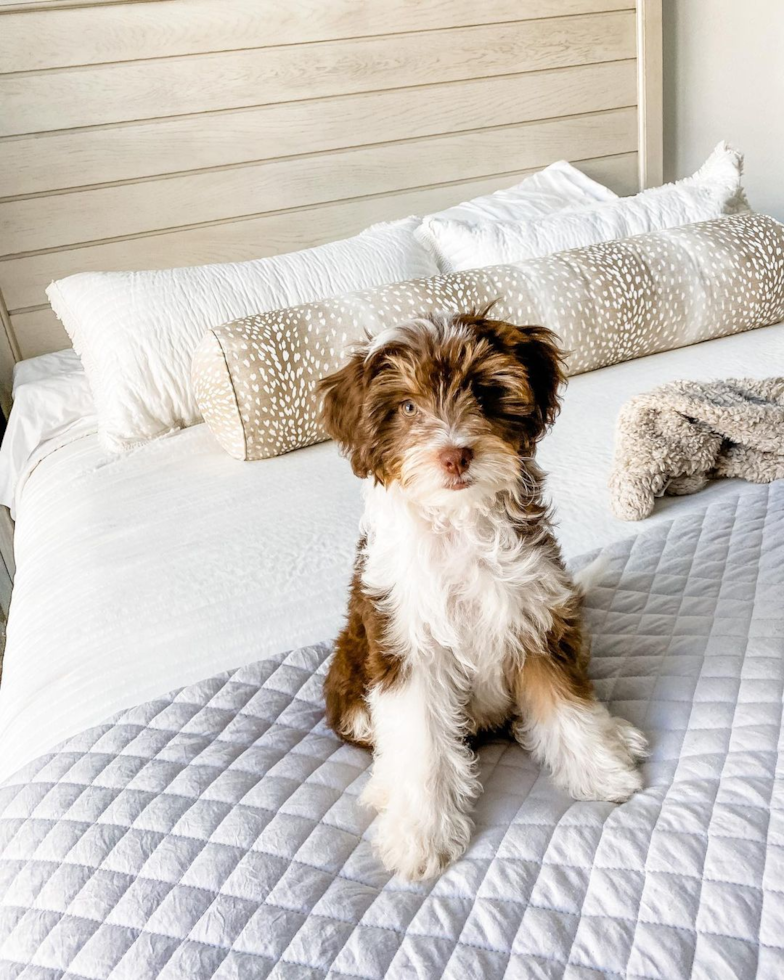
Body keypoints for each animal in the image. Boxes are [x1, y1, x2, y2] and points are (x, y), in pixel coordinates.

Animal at [316, 312, 648, 880]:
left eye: (485, 392)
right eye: (407, 407)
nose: (454, 455)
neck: (460, 521)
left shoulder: (535, 616)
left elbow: (563, 703)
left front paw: (599, 769)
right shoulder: (405, 642)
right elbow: (420, 742)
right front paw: (420, 835)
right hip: (350, 683)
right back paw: (386, 790)